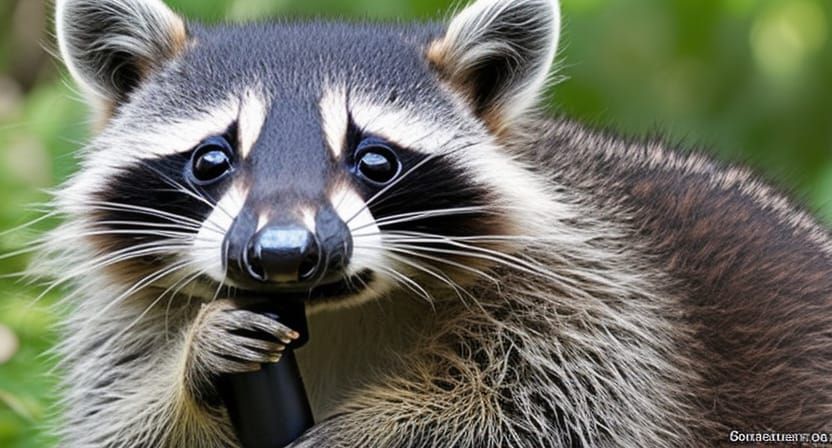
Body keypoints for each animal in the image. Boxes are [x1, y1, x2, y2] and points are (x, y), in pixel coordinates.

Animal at [36, 0, 832, 446]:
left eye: (375, 160)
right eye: (211, 160)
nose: (286, 253)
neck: (331, 315)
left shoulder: (598, 298)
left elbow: (546, 413)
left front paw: (385, 430)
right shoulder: (125, 324)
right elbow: (119, 424)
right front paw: (193, 365)